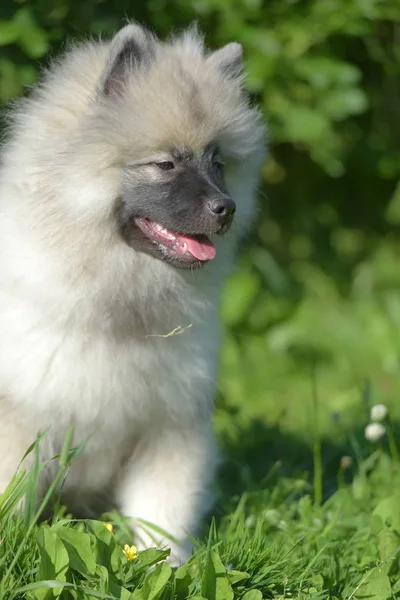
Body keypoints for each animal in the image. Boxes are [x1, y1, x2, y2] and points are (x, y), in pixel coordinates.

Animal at [0, 19, 266, 564]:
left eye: (218, 162)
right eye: (165, 164)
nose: (225, 208)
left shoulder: (169, 427)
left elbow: (163, 515)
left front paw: (164, 565)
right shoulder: (20, 418)